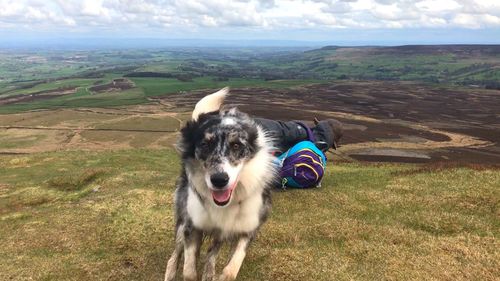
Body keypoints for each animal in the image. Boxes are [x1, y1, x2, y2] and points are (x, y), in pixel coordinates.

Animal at [164, 87, 276, 280]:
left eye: (236, 145)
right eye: (205, 145)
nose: (219, 180)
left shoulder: (248, 228)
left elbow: (232, 268)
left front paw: (220, 275)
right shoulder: (192, 225)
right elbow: (188, 271)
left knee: (212, 251)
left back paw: (209, 272)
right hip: (182, 216)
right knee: (175, 253)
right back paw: (171, 272)